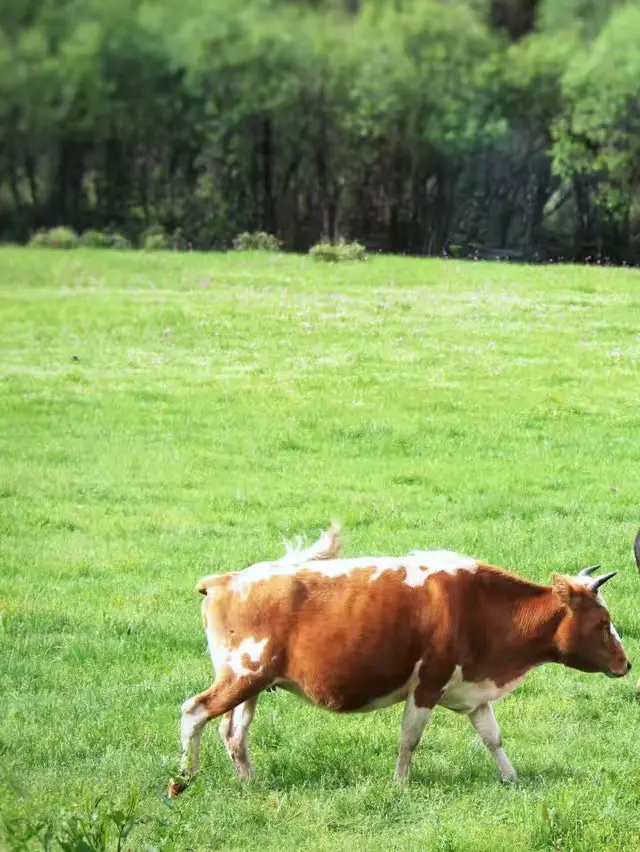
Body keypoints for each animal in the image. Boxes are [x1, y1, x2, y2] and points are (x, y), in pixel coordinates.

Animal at [166, 520, 632, 800]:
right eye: (603, 621)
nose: (626, 665)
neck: (480, 605)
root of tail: (228, 579)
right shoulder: (428, 684)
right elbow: (410, 738)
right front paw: (401, 783)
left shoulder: (472, 692)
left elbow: (492, 737)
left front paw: (511, 778)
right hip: (240, 677)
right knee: (194, 711)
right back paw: (184, 778)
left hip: (253, 685)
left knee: (234, 733)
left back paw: (249, 782)